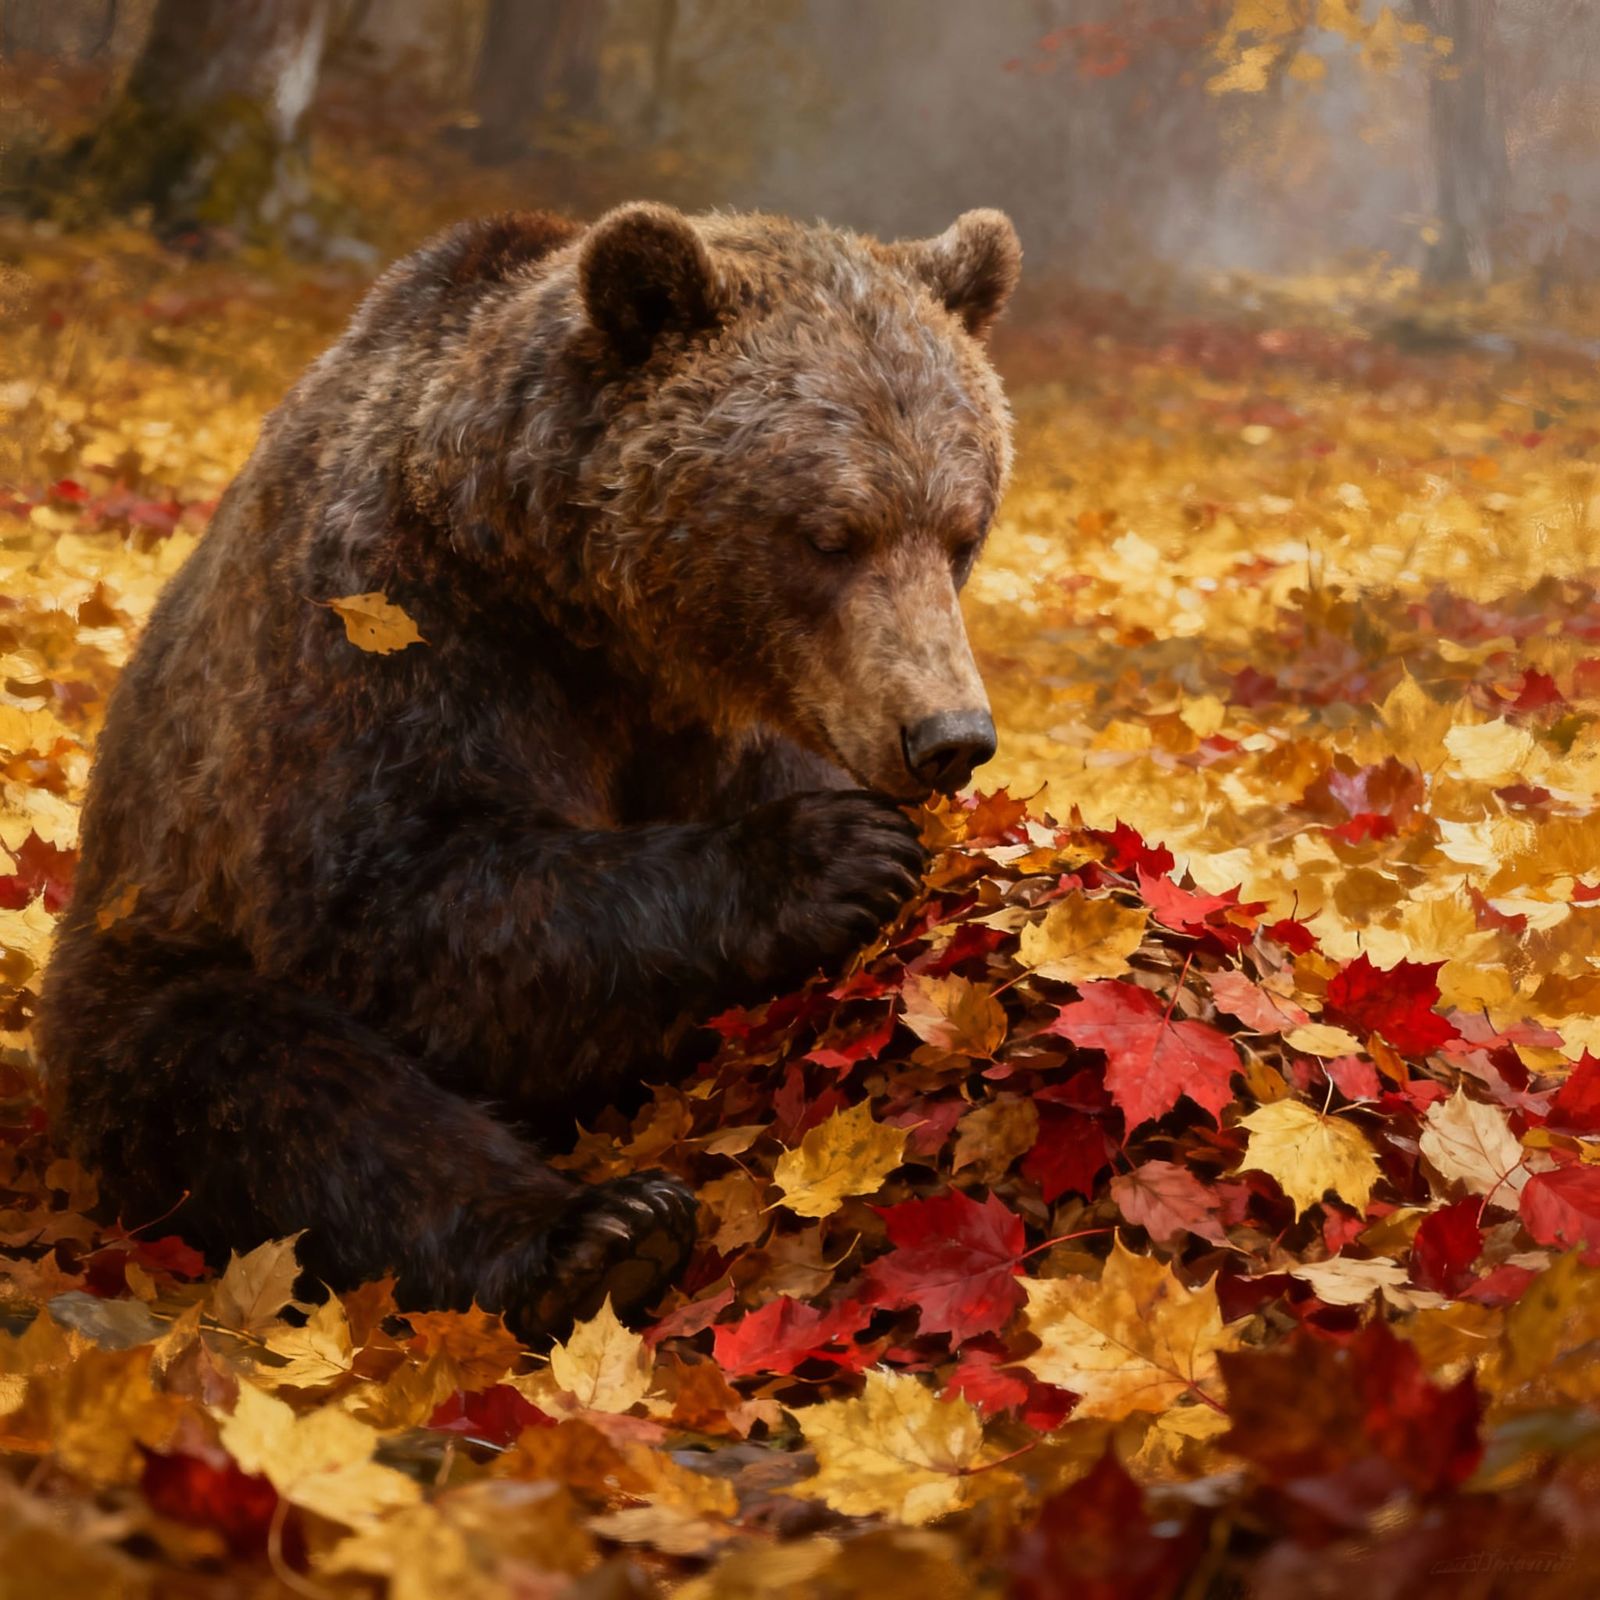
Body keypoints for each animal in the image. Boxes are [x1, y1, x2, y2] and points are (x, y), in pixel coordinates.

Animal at [38, 201, 1021, 1339]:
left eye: (961, 529)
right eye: (830, 533)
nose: (947, 734)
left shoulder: (725, 716)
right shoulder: (391, 626)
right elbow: (391, 899)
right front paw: (833, 850)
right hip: (128, 978)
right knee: (269, 1083)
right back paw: (600, 1235)